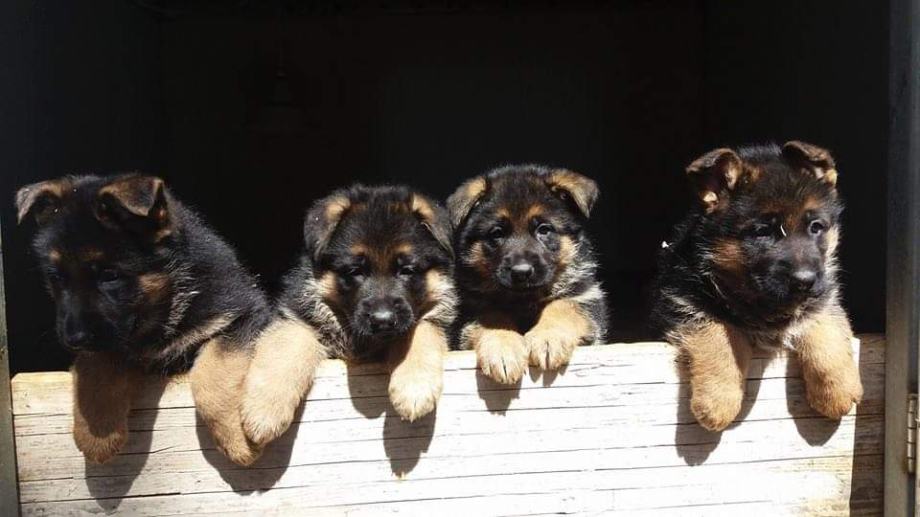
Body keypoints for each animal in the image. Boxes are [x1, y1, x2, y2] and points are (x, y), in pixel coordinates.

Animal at [16, 173, 271, 465]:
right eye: (56, 277)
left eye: (110, 276)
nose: (74, 339)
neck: (165, 308)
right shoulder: (105, 340)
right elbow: (98, 363)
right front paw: (97, 433)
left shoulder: (241, 315)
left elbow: (214, 372)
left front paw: (236, 437)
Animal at [240, 185, 457, 447]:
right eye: (355, 271)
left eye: (407, 270)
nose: (383, 320)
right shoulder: (295, 317)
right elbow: (286, 346)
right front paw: (264, 413)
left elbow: (419, 330)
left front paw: (414, 387)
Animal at [447, 165, 607, 384]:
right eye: (497, 233)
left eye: (544, 230)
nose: (521, 272)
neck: (524, 300)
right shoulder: (470, 312)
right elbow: (493, 316)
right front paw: (503, 349)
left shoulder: (586, 299)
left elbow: (563, 305)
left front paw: (548, 338)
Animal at [651, 141, 863, 431]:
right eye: (762, 232)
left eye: (816, 227)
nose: (805, 280)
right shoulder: (683, 302)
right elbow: (719, 334)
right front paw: (718, 401)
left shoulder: (822, 300)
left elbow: (826, 329)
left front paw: (837, 391)